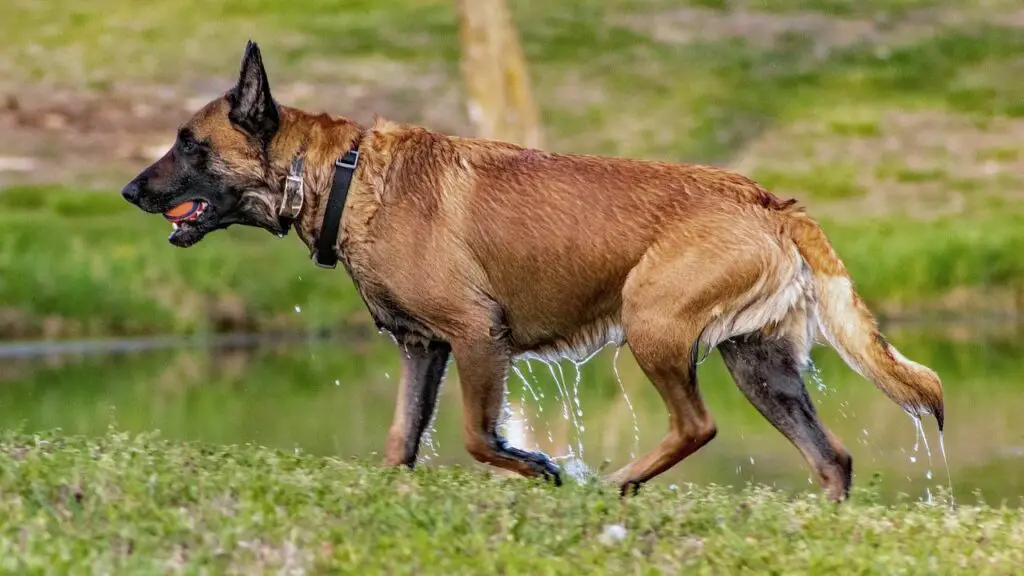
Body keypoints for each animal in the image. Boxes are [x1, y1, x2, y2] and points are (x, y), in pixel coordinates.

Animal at [121, 40, 942, 498]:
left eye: (189, 144)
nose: (129, 191)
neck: (341, 174)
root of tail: (769, 200)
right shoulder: (424, 350)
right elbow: (399, 443)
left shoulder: (476, 339)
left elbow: (479, 438)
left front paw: (543, 468)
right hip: (760, 365)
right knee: (831, 458)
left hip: (652, 324)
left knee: (698, 425)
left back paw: (614, 484)